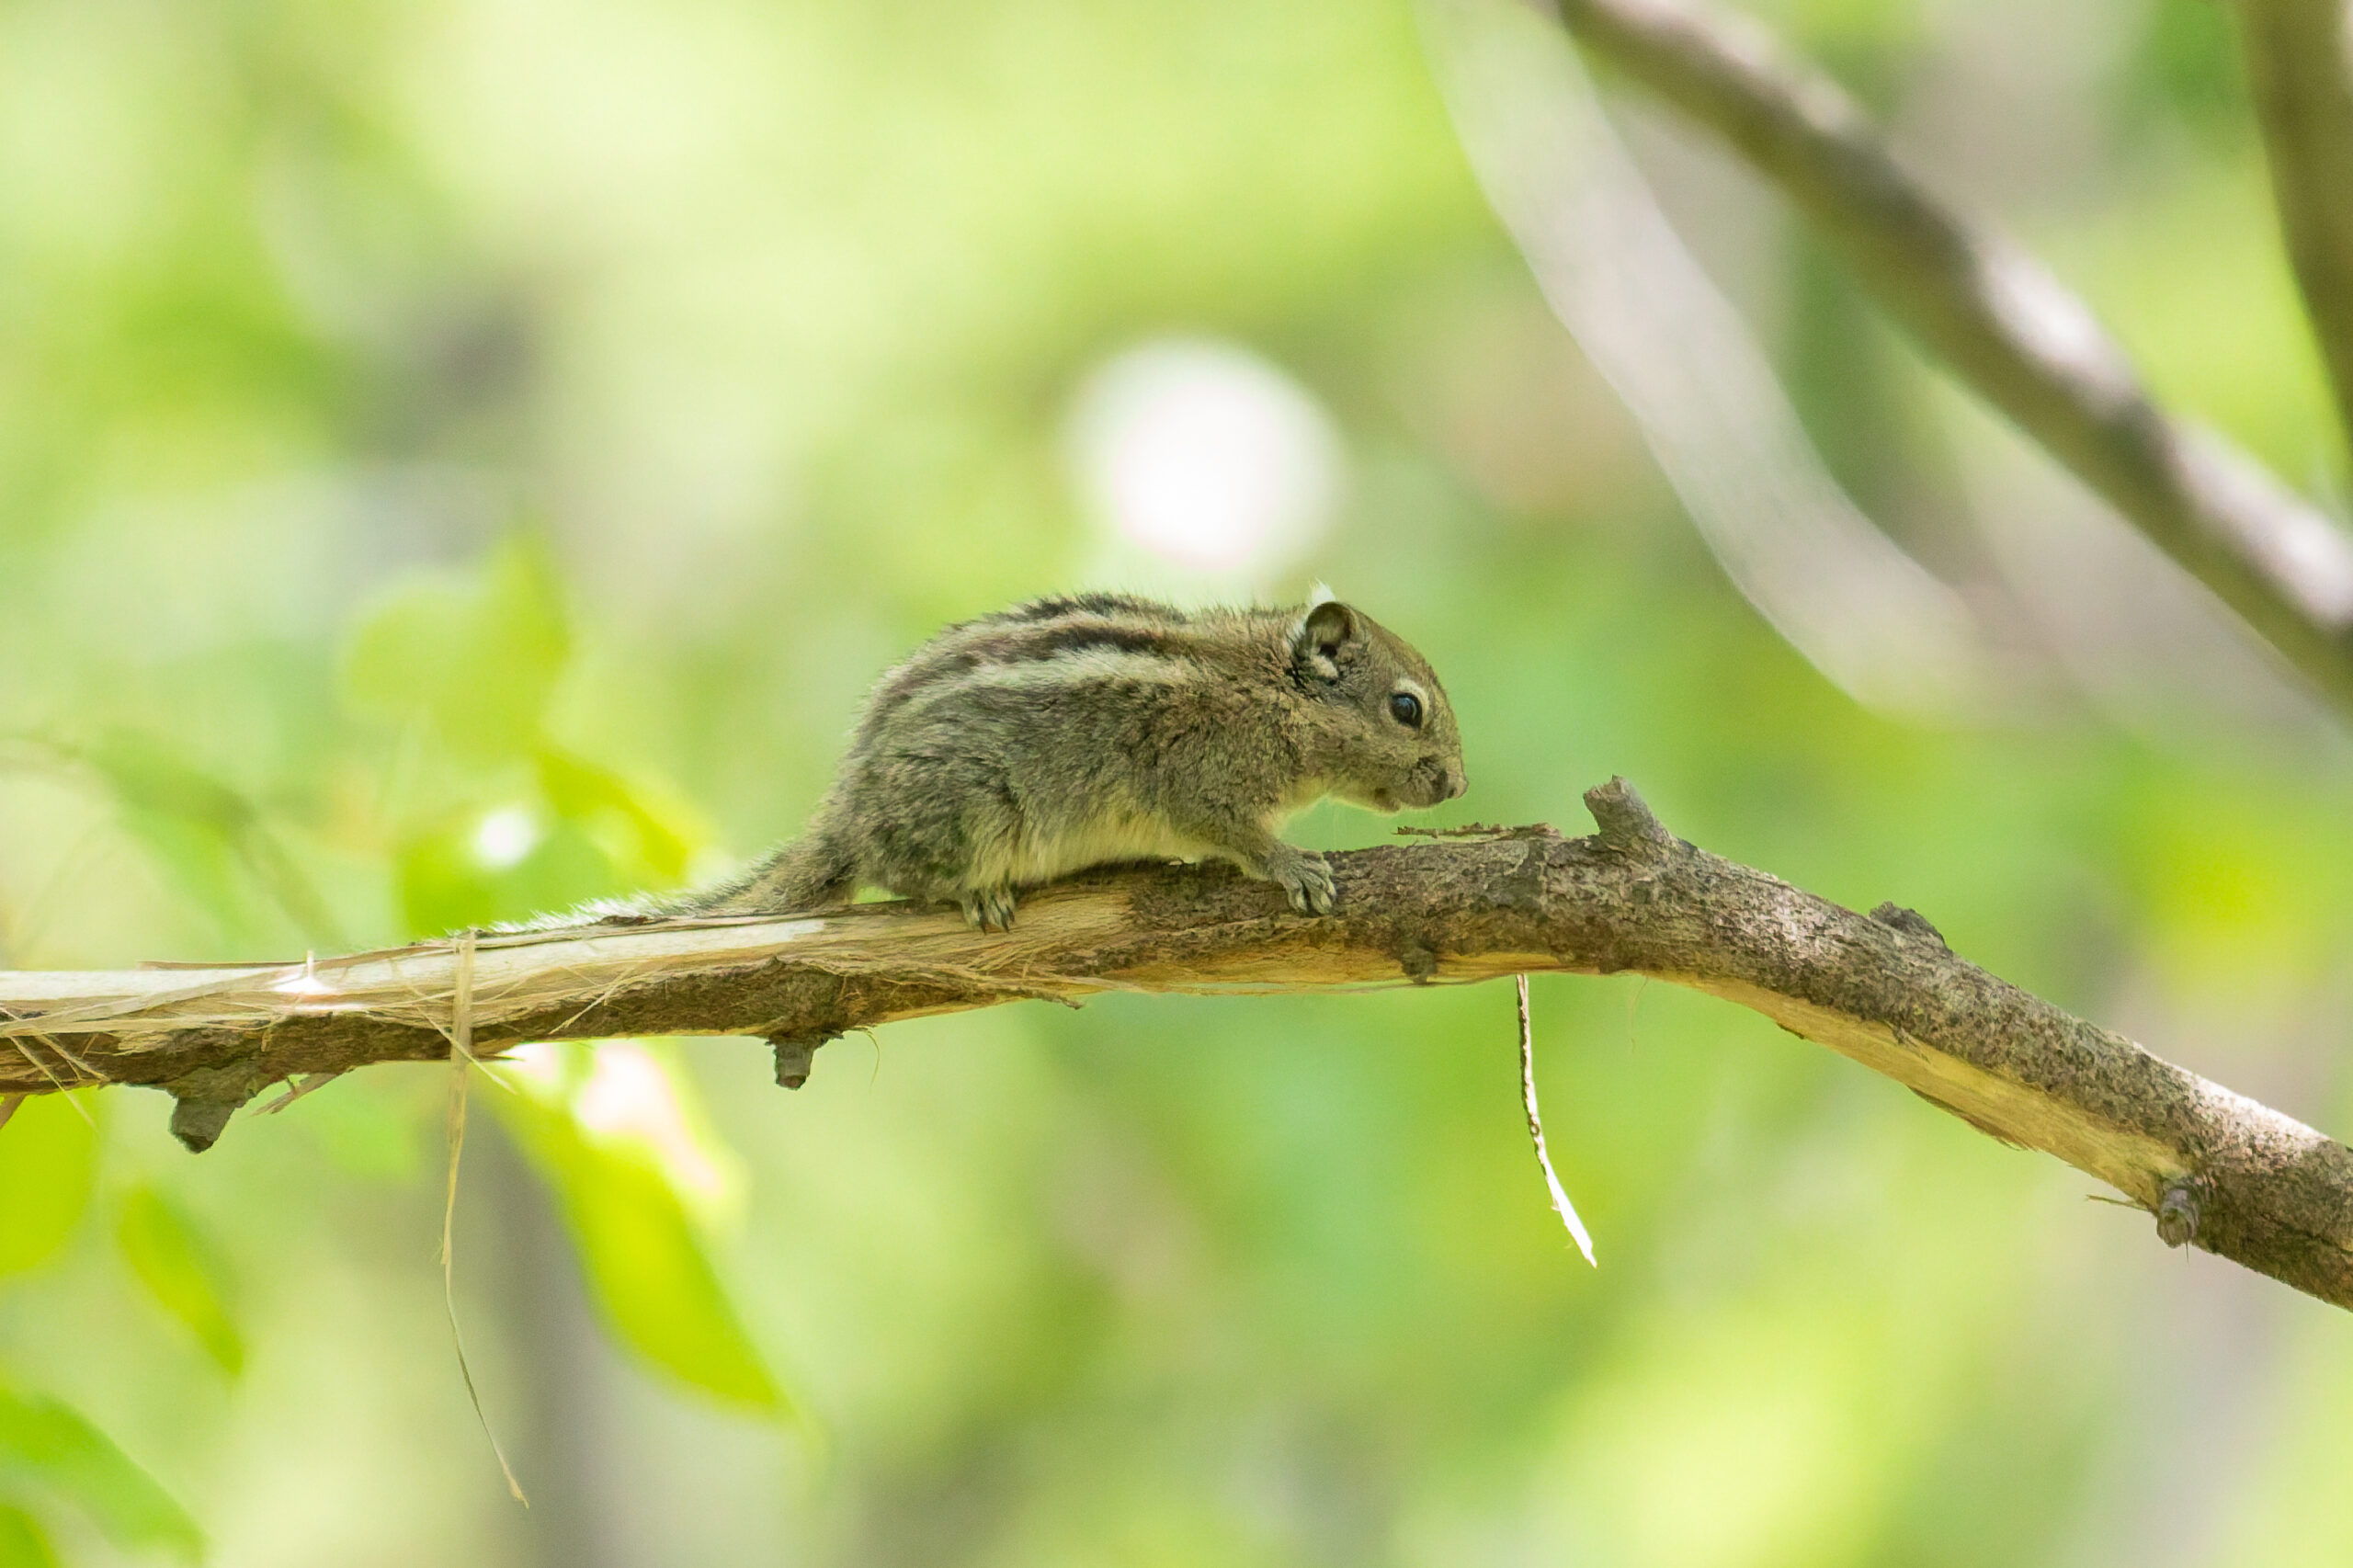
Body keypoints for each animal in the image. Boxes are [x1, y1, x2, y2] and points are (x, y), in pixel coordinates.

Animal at [550, 592, 1464, 932]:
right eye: (1406, 708)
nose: (1458, 783)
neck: (1271, 693)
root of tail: (844, 812)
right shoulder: (1200, 778)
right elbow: (1239, 836)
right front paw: (1294, 866)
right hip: (973, 809)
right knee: (902, 873)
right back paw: (976, 893)